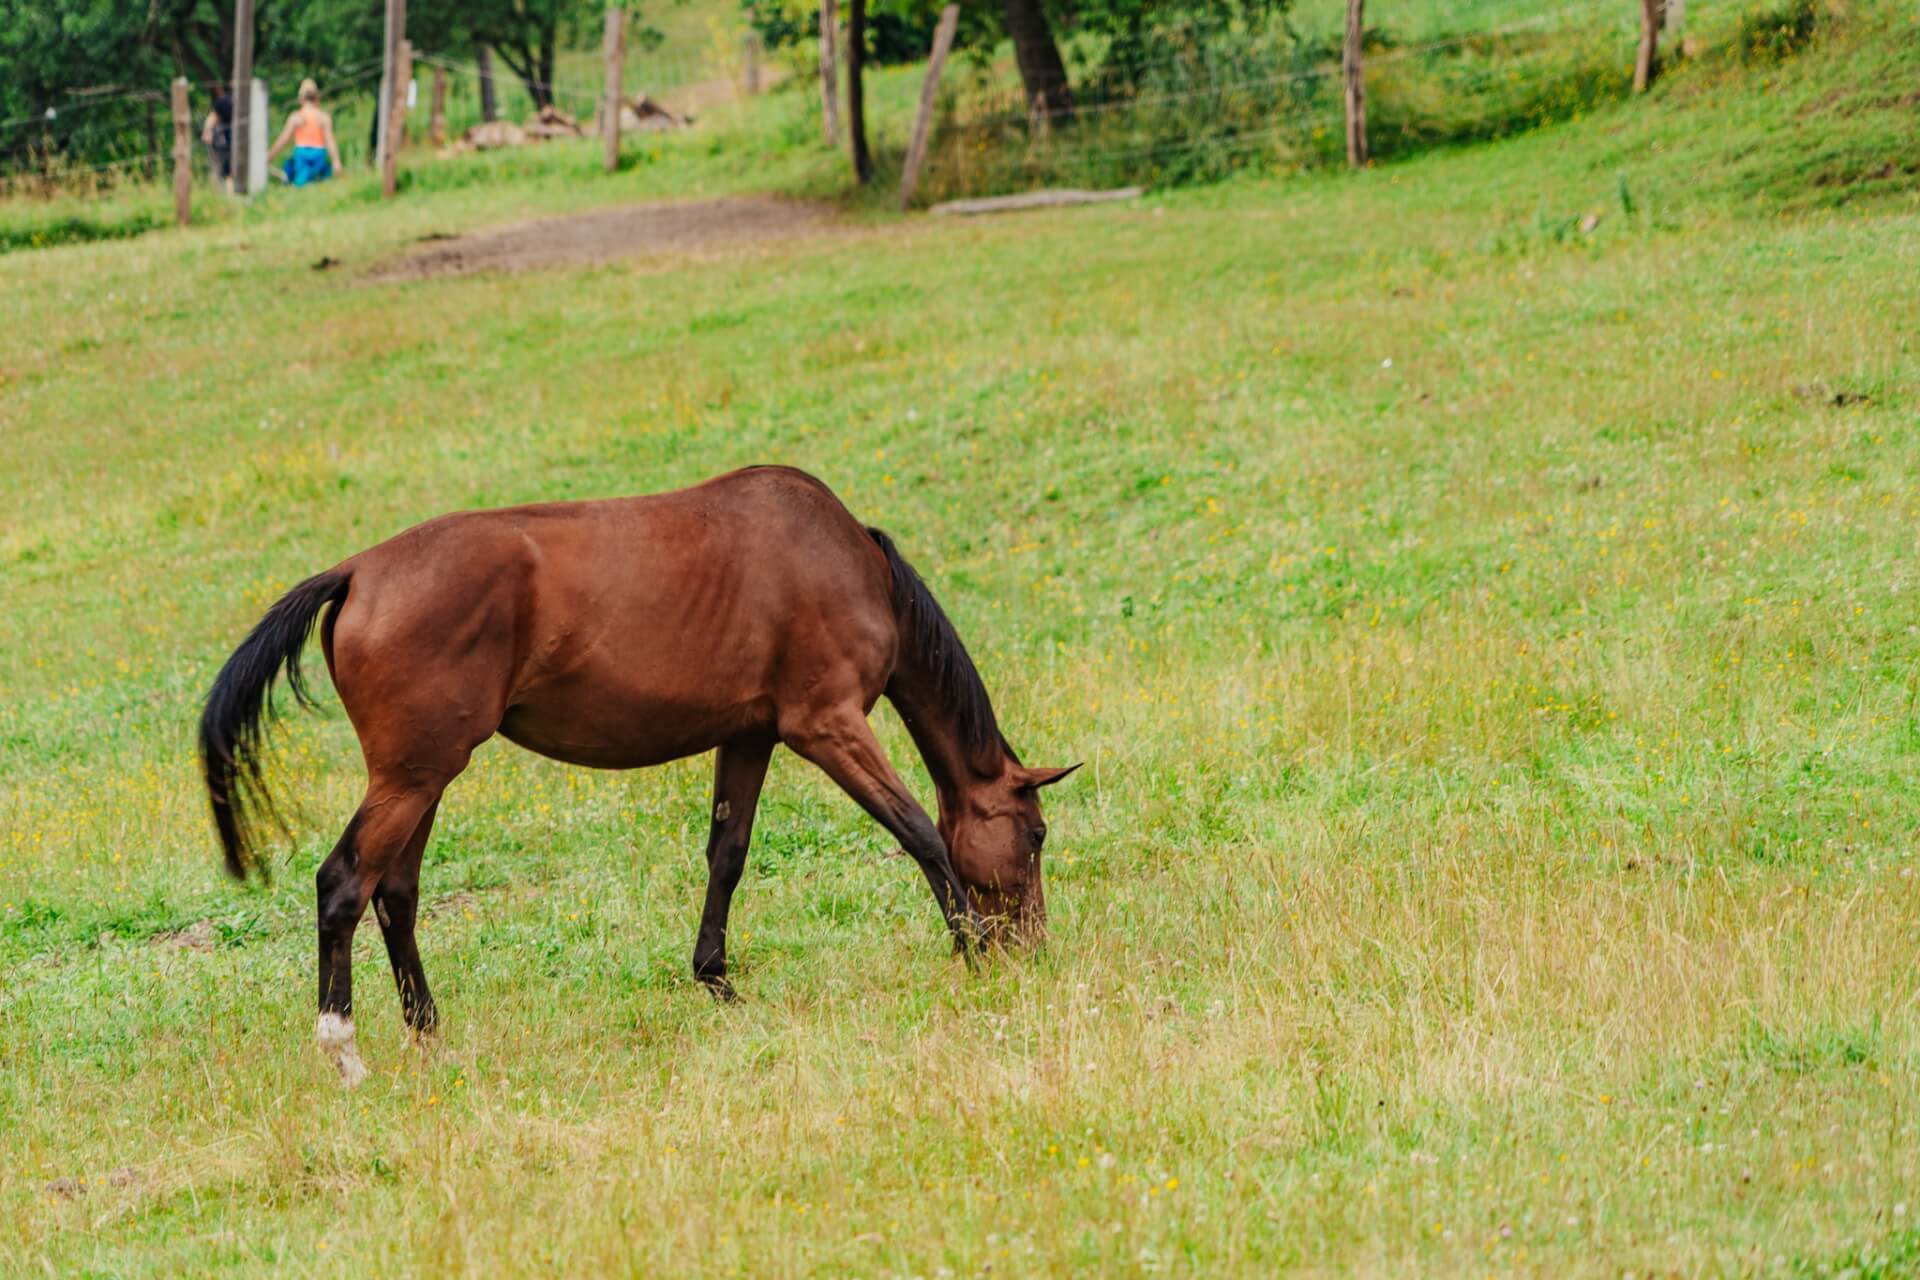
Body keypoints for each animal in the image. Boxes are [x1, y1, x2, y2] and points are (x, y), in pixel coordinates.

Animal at [204, 466, 1090, 1090]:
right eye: (1036, 834)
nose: (1033, 947)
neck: (841, 559)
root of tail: (358, 571)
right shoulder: (827, 726)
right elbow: (918, 835)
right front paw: (972, 951)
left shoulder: (750, 736)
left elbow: (727, 856)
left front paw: (716, 980)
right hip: (413, 777)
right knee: (344, 885)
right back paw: (344, 1051)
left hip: (424, 777)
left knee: (396, 895)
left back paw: (429, 1035)